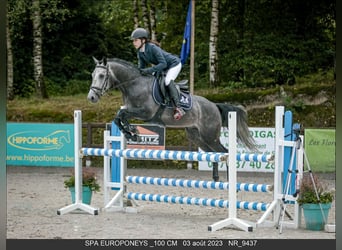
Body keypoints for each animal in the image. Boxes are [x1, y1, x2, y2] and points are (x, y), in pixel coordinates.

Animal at [87, 57, 255, 182]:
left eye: (101, 76)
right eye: (92, 75)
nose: (91, 97)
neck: (133, 84)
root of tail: (214, 105)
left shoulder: (145, 113)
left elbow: (122, 114)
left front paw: (132, 131)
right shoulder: (132, 111)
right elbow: (118, 116)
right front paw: (131, 133)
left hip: (210, 135)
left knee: (224, 152)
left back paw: (229, 182)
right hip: (196, 136)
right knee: (212, 154)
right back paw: (215, 179)